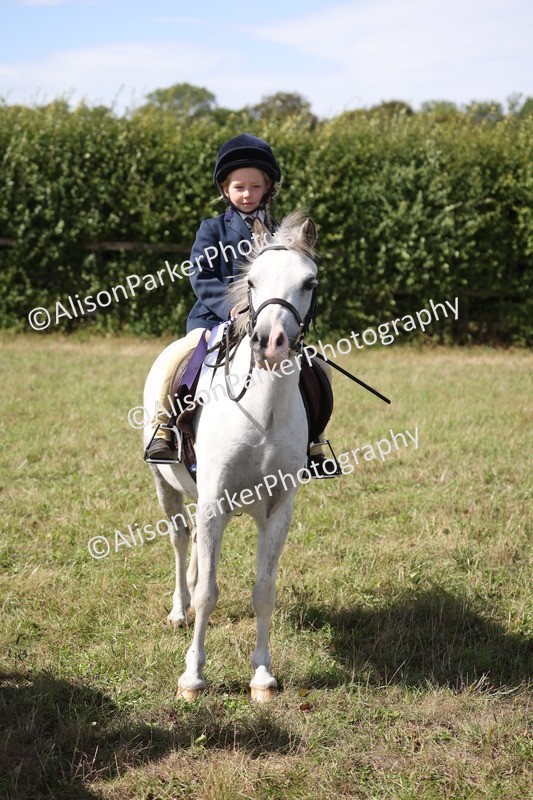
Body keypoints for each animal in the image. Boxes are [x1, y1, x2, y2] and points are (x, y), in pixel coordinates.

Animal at [143, 211, 319, 701]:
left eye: (309, 282)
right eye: (252, 280)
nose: (270, 342)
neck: (262, 411)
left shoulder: (278, 509)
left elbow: (264, 592)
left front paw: (261, 676)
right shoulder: (211, 502)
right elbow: (207, 592)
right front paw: (192, 677)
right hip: (167, 486)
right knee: (181, 541)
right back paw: (178, 610)